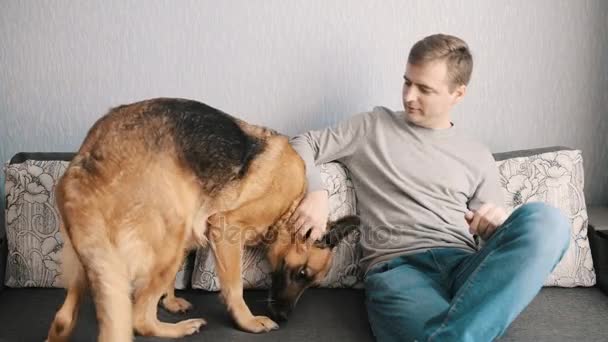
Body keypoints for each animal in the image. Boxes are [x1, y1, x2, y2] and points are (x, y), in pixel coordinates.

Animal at [48, 97, 360, 340]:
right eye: (302, 273)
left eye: (310, 282)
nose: (283, 317)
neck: (292, 207)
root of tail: (86, 158)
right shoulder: (224, 227)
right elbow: (234, 287)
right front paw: (248, 321)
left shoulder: (195, 227)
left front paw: (170, 300)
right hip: (169, 234)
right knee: (139, 319)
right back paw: (179, 329)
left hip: (95, 260)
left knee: (64, 319)